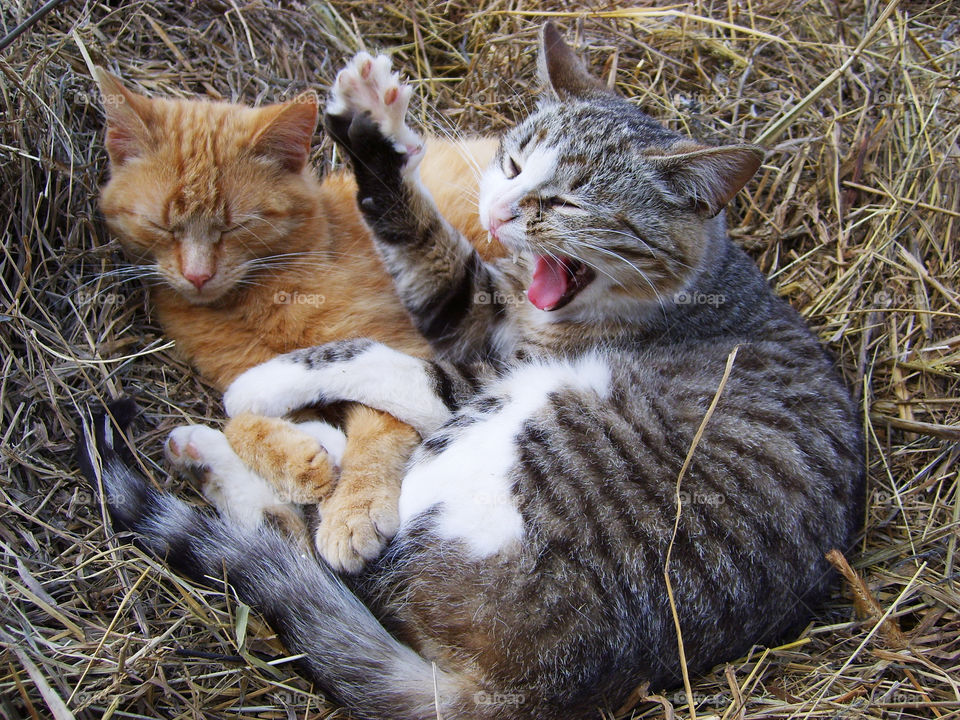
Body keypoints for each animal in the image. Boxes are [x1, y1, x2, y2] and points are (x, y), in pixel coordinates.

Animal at [95, 69, 502, 572]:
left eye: (235, 226)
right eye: (162, 226)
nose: (197, 274)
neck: (250, 300)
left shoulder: (402, 342)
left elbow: (376, 423)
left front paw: (354, 507)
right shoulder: (240, 369)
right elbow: (239, 417)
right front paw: (300, 461)